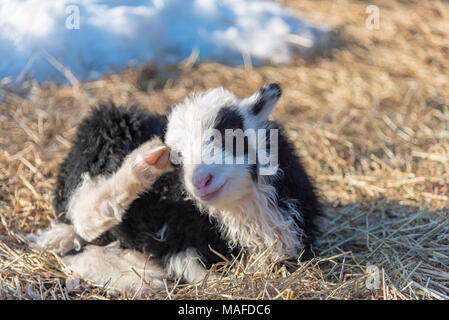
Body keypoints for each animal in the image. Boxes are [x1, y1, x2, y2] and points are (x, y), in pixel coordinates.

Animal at [28, 84, 322, 294]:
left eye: (229, 133)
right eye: (177, 155)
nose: (200, 181)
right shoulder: (176, 238)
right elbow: (196, 273)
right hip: (103, 133)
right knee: (86, 216)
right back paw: (144, 163)